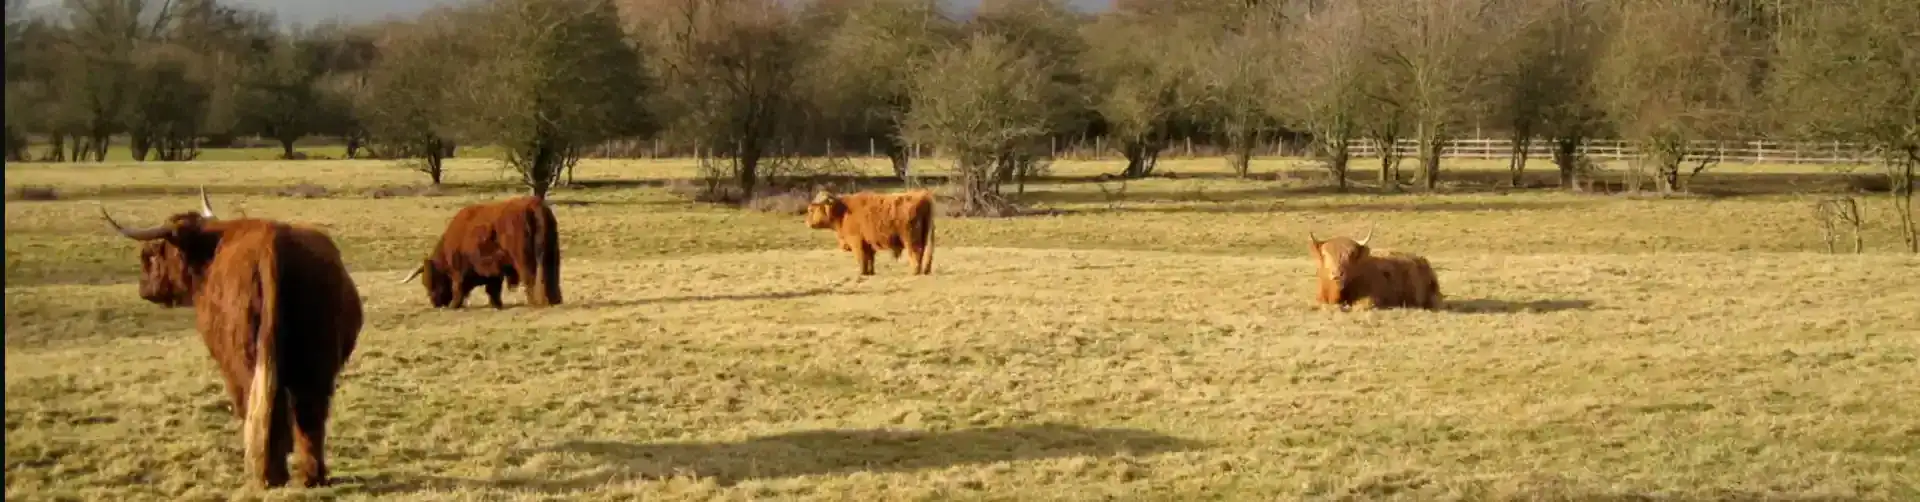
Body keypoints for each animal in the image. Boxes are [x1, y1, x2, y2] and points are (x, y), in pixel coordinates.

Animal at [98, 188, 363, 489]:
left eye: (153, 254)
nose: (143, 288)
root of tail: (272, 247)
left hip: (246, 361)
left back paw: (268, 475)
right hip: (315, 366)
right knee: (309, 414)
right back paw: (311, 475)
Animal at [401, 195, 562, 309]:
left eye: (432, 281)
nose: (436, 303)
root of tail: (533, 206)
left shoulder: (460, 271)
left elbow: (459, 288)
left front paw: (454, 305)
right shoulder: (494, 270)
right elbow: (493, 288)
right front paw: (496, 304)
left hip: (524, 260)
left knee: (530, 277)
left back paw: (535, 302)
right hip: (551, 255)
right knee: (550, 275)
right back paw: (554, 300)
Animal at [805, 189, 936, 276]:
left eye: (811, 210)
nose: (807, 223)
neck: (843, 212)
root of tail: (922, 195)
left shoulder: (856, 241)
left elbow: (861, 258)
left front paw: (861, 273)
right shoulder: (868, 243)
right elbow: (870, 258)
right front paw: (870, 272)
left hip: (910, 238)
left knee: (915, 252)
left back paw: (914, 271)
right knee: (923, 252)